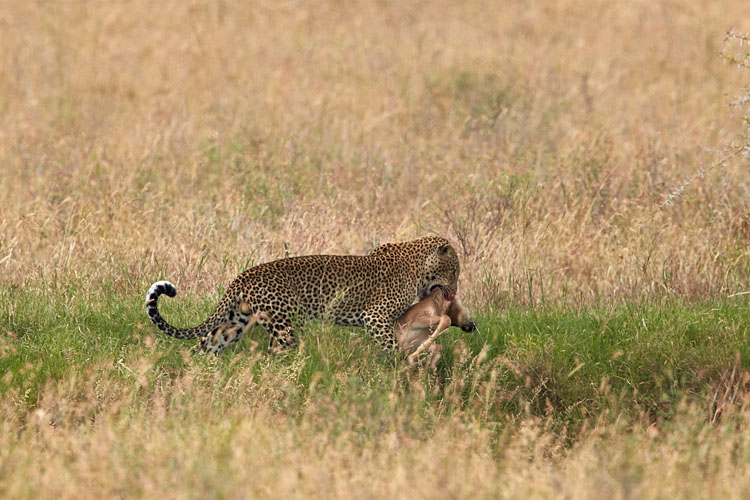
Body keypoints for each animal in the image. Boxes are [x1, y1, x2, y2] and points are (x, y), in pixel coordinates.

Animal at [145, 236, 460, 354]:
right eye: (456, 270)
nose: (454, 291)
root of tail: (241, 277)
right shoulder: (375, 316)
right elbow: (392, 347)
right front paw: (399, 368)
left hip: (234, 323)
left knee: (204, 345)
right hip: (282, 326)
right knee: (276, 353)